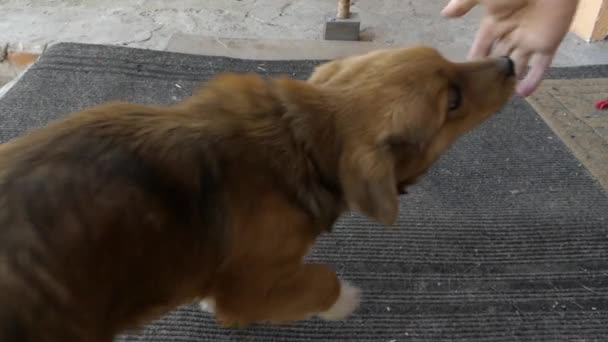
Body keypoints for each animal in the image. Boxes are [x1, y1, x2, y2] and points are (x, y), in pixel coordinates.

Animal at [0, 46, 512, 342]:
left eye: (447, 57)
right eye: (452, 102)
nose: (510, 62)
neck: (300, 137)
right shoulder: (249, 289)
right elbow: (322, 280)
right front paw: (343, 301)